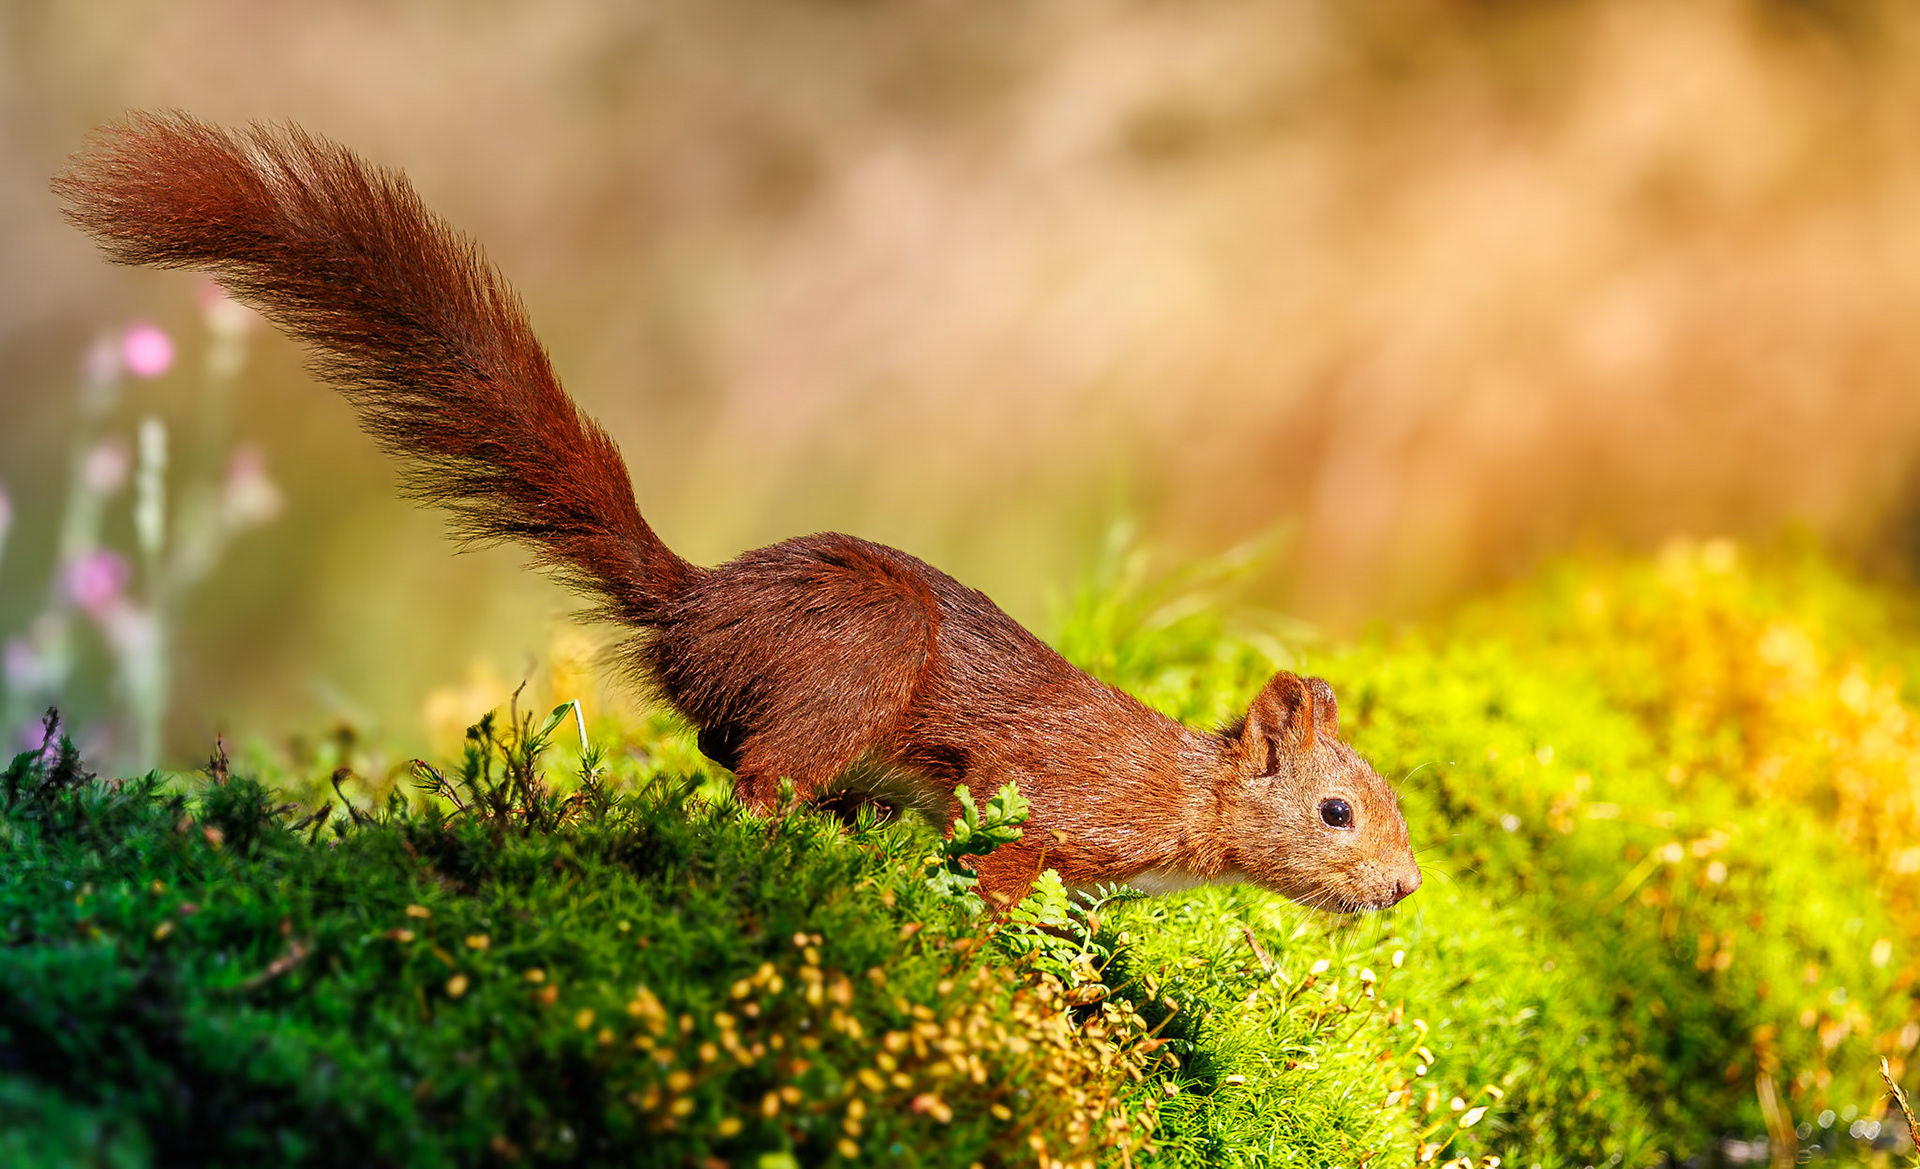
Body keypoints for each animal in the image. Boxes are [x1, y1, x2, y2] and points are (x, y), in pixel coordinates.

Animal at [54, 113, 1421, 912]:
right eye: (1337, 810)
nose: (1405, 887)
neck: (1188, 805)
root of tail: (696, 604)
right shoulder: (1054, 796)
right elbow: (1002, 858)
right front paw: (994, 931)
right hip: (863, 659)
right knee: (759, 770)